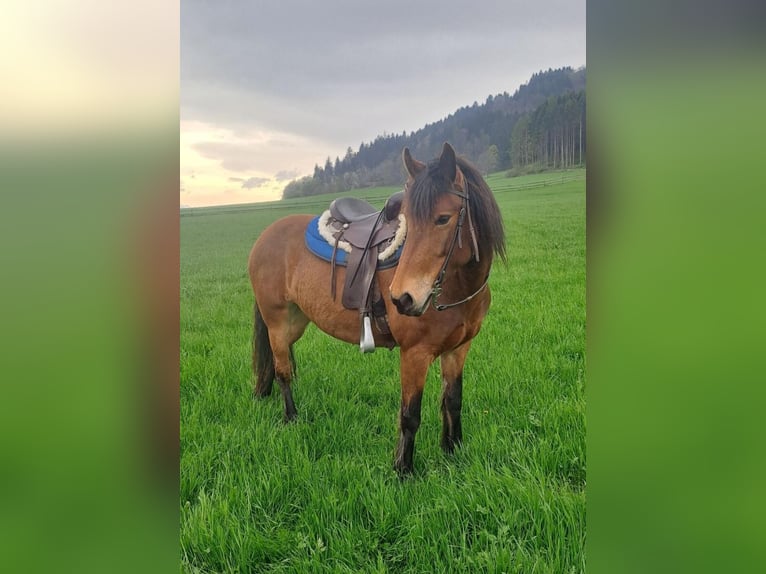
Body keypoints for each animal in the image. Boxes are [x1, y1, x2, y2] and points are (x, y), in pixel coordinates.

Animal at [248, 142, 506, 475]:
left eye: (443, 218)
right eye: (409, 221)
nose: (403, 298)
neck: (454, 287)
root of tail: (265, 236)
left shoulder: (458, 349)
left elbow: (452, 400)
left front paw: (452, 450)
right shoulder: (415, 354)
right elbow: (410, 414)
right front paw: (403, 470)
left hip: (296, 321)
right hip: (277, 321)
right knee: (282, 372)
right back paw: (291, 418)